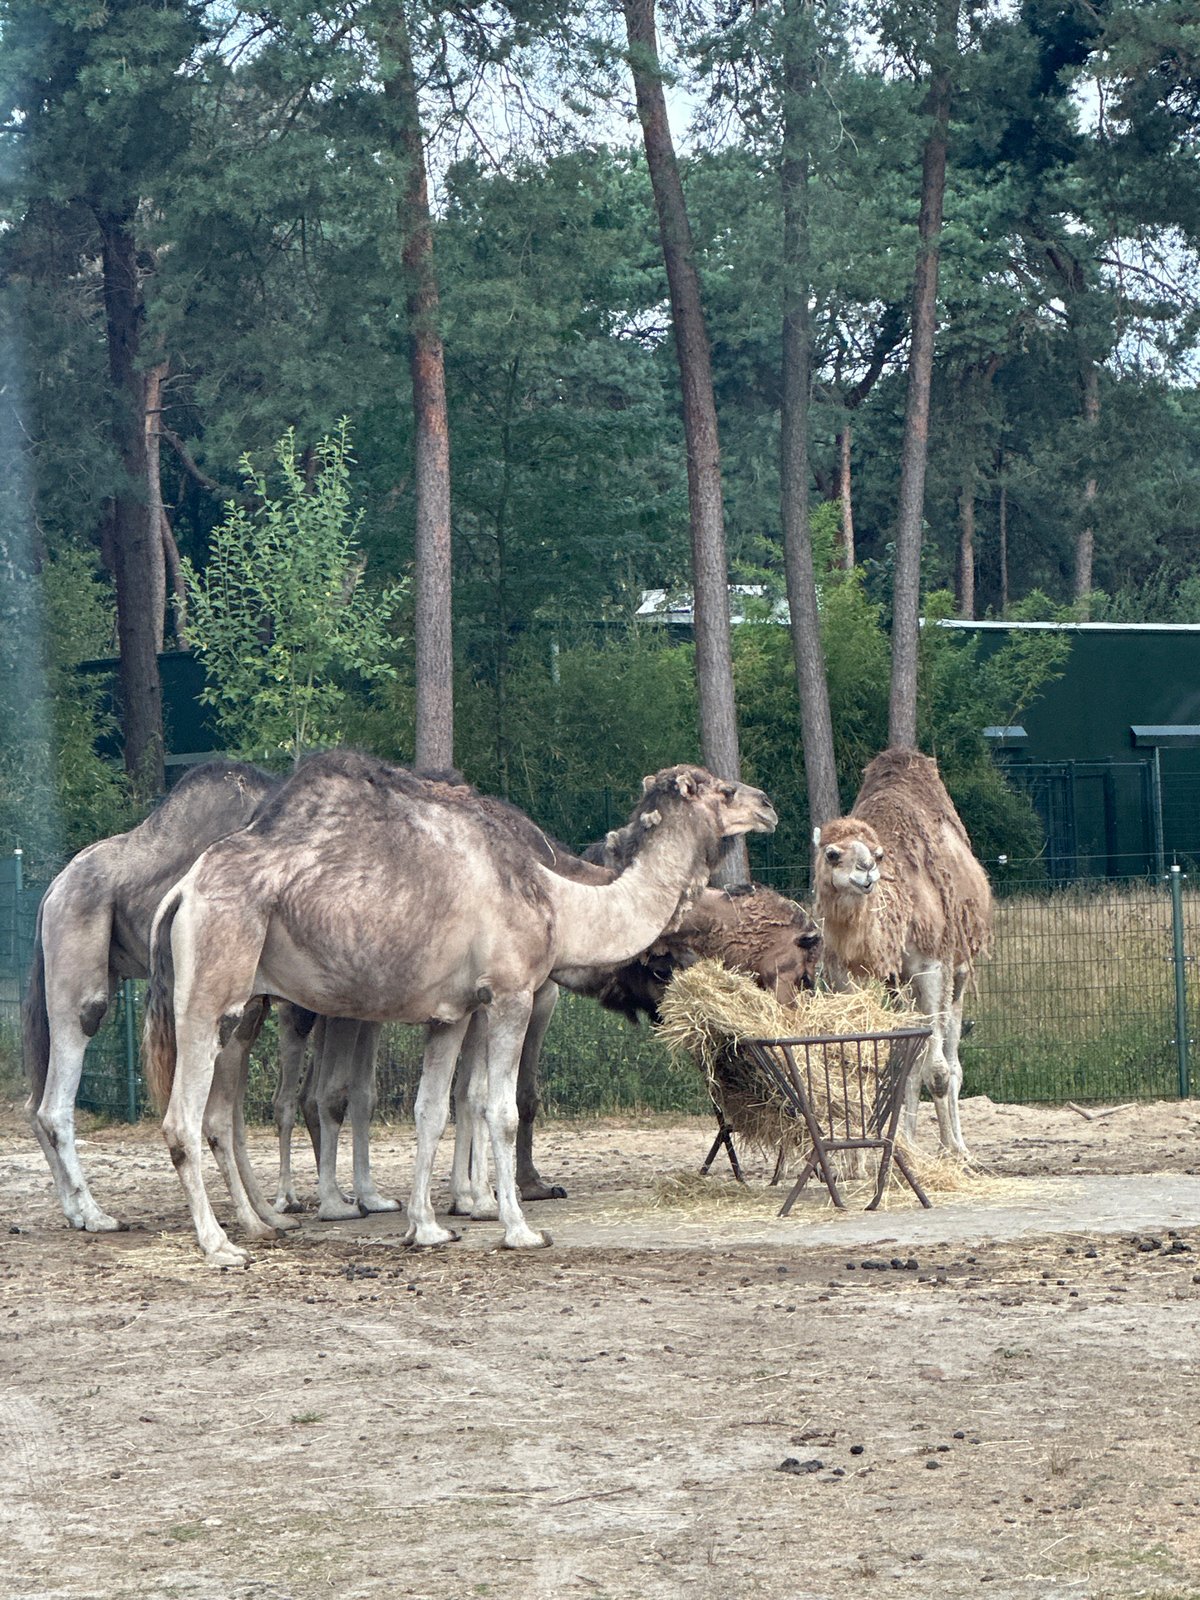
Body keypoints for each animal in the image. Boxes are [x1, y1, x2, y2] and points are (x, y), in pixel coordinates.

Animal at [22, 760, 292, 1234]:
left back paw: (74, 1212)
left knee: (35, 1102)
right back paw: (96, 1215)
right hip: (80, 963)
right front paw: (256, 1219)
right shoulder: (240, 1002)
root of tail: (52, 890)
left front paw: (268, 1215)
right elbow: (225, 1116)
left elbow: (235, 1118)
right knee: (53, 1101)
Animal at [141, 750, 777, 1265]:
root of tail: (183, 891)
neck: (561, 900)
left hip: (238, 1002)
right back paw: (221, 1245)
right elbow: (502, 1110)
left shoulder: (449, 1013)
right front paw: (518, 1228)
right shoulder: (511, 994)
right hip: (212, 992)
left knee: (219, 1113)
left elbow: (431, 1111)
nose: (767, 804)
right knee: (183, 1118)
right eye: (723, 790)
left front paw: (426, 1228)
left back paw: (259, 1224)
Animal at [811, 746, 992, 1157]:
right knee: (909, 1056)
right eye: (832, 853)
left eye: (878, 855)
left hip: (959, 970)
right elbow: (871, 1058)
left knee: (950, 1057)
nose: (866, 872)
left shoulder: (932, 962)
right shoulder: (849, 974)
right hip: (898, 988)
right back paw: (908, 1140)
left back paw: (958, 1146)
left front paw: (950, 1152)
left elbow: (937, 1071)